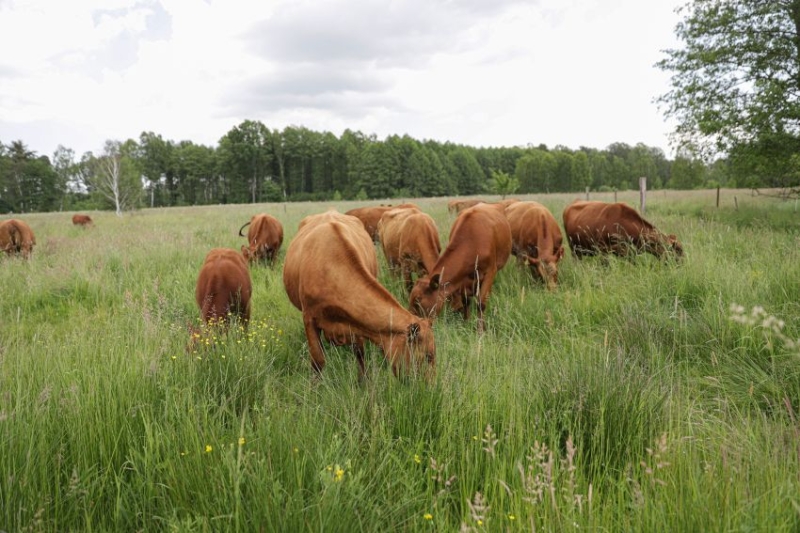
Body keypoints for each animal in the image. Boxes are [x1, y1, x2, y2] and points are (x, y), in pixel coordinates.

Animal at [282, 209, 434, 378]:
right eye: (428, 356)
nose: (432, 384)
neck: (333, 271)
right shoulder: (309, 318)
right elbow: (317, 360)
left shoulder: (357, 323)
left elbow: (360, 353)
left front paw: (364, 381)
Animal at [406, 204, 512, 332]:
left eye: (418, 301)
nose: (412, 327)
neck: (472, 241)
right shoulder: (462, 279)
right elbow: (465, 301)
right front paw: (466, 323)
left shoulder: (490, 271)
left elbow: (481, 304)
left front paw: (481, 330)